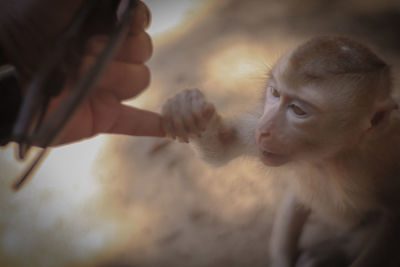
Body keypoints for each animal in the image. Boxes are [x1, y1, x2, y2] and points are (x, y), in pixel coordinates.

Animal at [162, 35, 400, 267]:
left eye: (298, 110)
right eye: (275, 93)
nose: (264, 131)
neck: (330, 157)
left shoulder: (385, 155)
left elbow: (391, 224)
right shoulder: (258, 124)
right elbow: (222, 146)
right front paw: (184, 109)